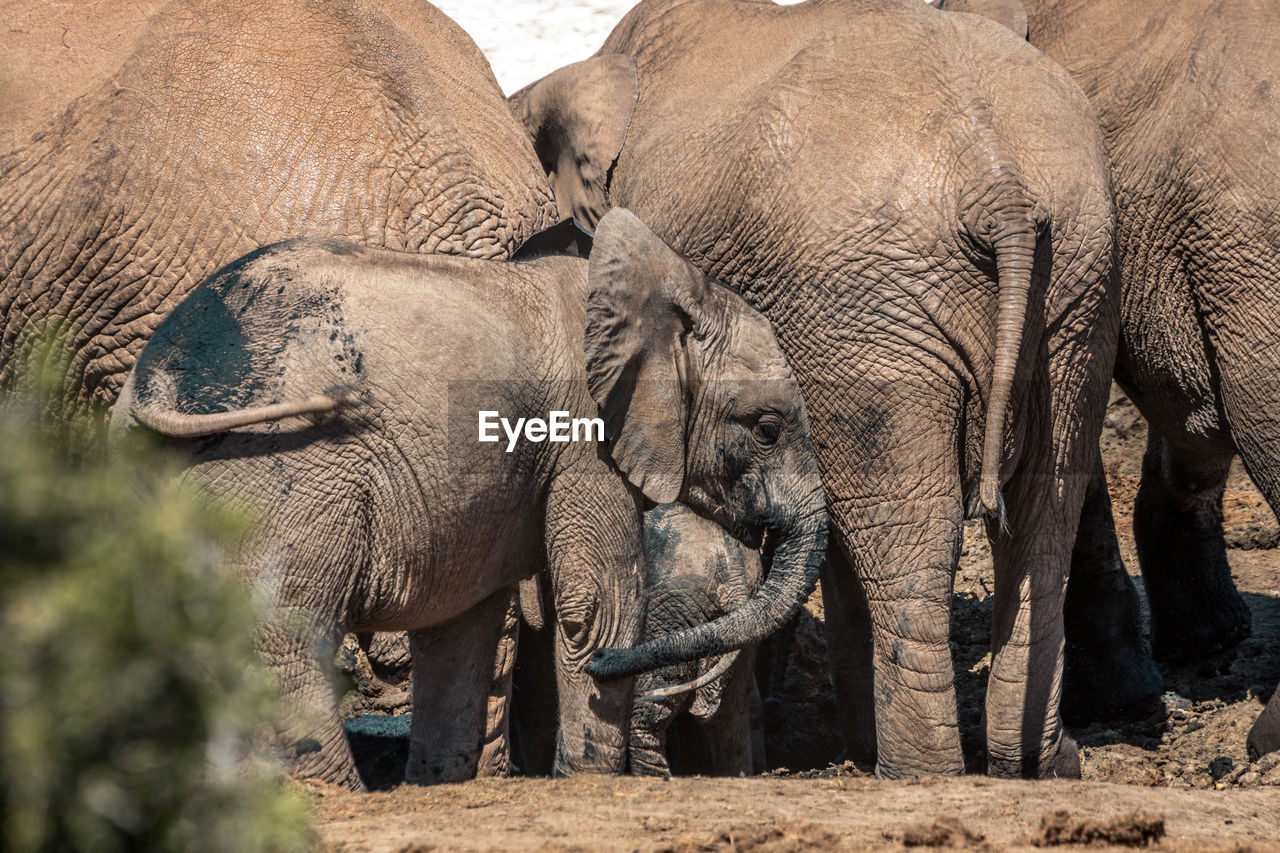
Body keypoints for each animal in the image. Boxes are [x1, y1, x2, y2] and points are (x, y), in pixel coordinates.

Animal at [110, 207, 829, 788]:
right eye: (767, 428)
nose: (606, 668)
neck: (670, 290)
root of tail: (158, 374)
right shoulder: (582, 438)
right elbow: (596, 599)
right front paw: (589, 773)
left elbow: (464, 621)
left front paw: (438, 785)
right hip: (284, 465)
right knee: (280, 629)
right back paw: (331, 790)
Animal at [514, 0, 1116, 778]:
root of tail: (1000, 185)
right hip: (1074, 283)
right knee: (1044, 512)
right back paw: (1036, 766)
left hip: (869, 315)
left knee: (907, 539)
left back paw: (914, 774)